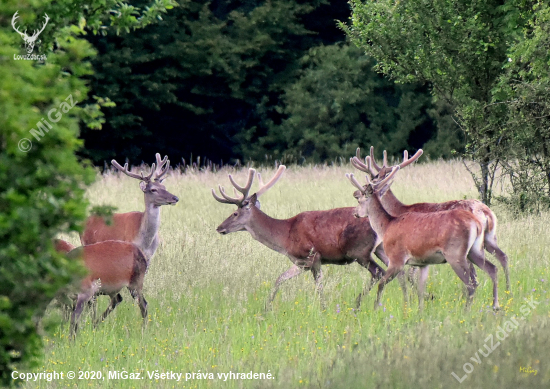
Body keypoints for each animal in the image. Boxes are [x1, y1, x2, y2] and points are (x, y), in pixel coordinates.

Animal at [213, 165, 398, 308]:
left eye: (235, 213)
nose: (219, 228)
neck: (285, 237)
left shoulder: (313, 255)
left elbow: (319, 287)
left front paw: (323, 309)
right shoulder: (300, 262)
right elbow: (279, 279)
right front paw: (266, 308)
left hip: (359, 251)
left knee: (379, 273)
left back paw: (359, 302)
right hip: (380, 249)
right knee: (397, 272)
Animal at [354, 147, 512, 292]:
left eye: (373, 179)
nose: (356, 192)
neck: (397, 210)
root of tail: (485, 212)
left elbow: (411, 275)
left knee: (473, 272)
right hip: (489, 237)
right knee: (502, 257)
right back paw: (507, 290)